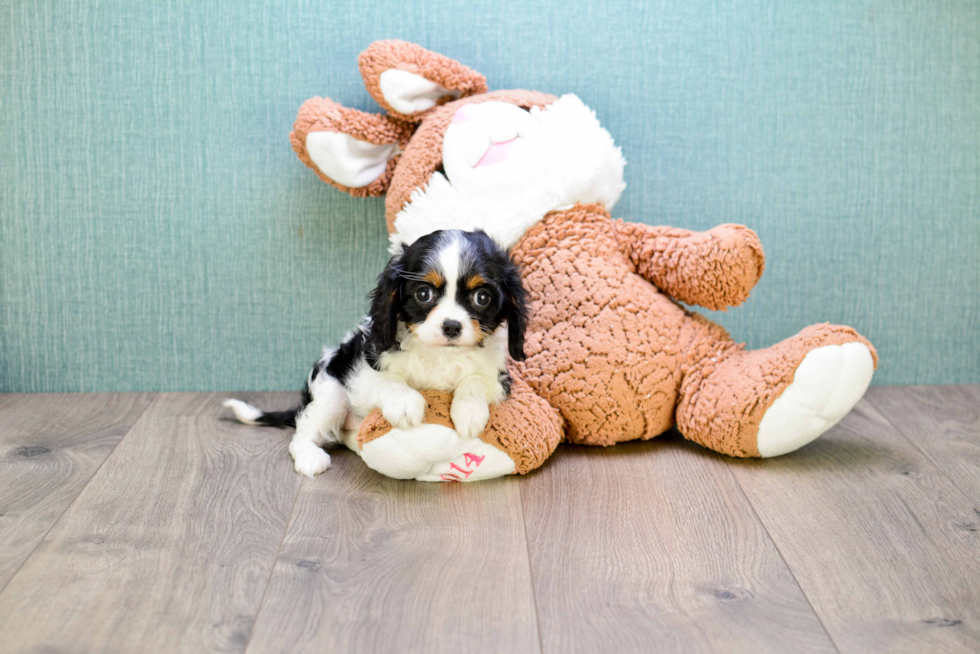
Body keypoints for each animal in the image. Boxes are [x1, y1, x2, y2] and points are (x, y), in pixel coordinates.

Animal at [225, 229, 528, 476]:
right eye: (424, 294)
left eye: (481, 298)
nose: (452, 326)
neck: (440, 354)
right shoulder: (362, 370)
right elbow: (387, 380)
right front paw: (405, 403)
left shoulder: (500, 377)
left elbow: (475, 379)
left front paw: (468, 411)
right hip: (331, 391)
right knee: (303, 432)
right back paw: (310, 457)